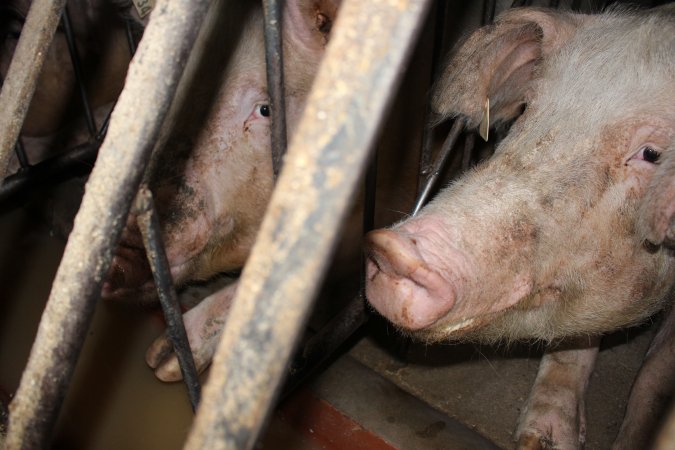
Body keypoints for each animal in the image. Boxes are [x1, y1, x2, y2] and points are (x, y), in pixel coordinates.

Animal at [364, 4, 675, 450]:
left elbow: (655, 374)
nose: (393, 250)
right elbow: (573, 339)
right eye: (528, 109)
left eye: (652, 155)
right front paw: (540, 439)